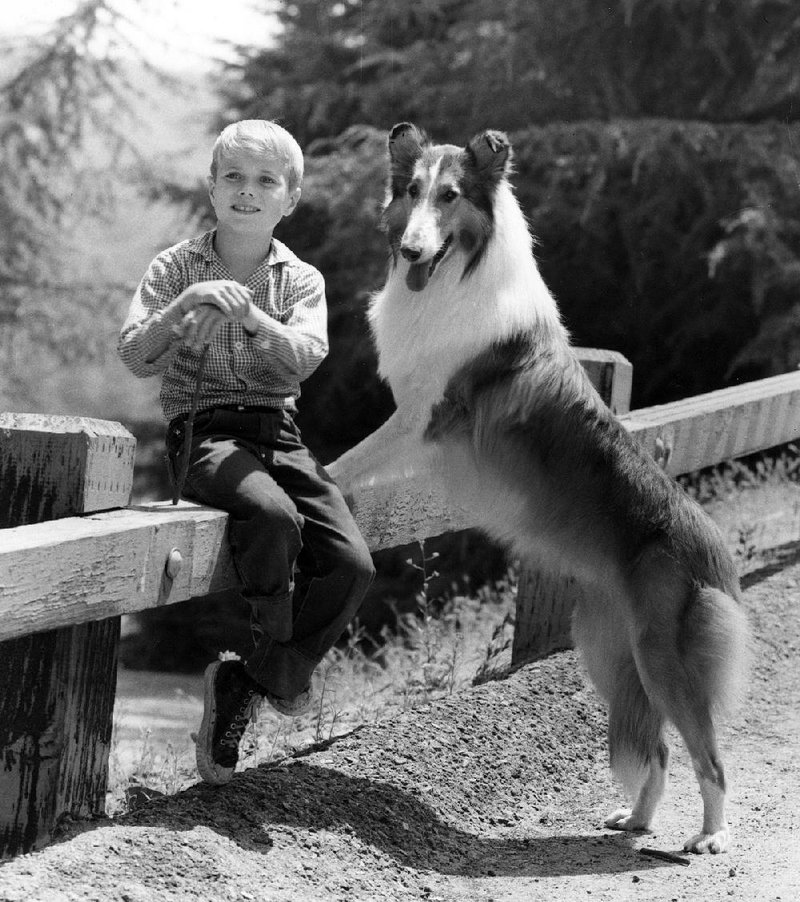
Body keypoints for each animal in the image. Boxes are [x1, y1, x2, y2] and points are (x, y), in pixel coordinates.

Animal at [326, 122, 752, 856]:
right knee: (660, 751)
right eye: (412, 191)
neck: (458, 275)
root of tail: (715, 553)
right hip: (610, 652)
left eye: (451, 196)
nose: (410, 249)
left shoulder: (422, 417)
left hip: (664, 660)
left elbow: (347, 460)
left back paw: (709, 837)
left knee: (710, 756)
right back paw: (637, 821)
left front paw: (315, 476)